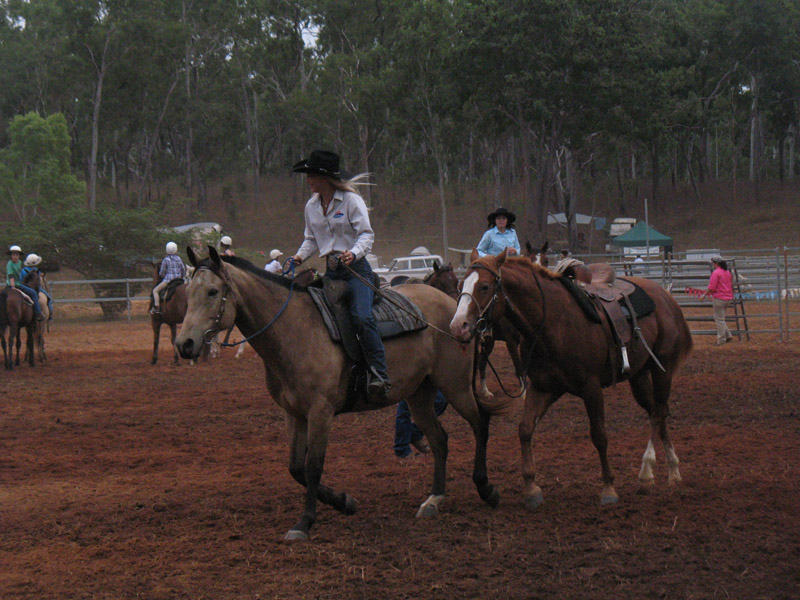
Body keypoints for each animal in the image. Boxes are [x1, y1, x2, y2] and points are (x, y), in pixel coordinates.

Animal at [176, 247, 512, 540]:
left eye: (212, 292)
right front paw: (344, 502)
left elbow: (313, 467)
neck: (294, 329)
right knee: (440, 439)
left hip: (455, 385)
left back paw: (487, 489)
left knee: (480, 424)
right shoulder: (293, 413)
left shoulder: (320, 412)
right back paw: (434, 500)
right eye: (188, 293)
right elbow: (296, 468)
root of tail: (456, 313)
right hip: (419, 393)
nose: (185, 344)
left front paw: (305, 522)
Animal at [450, 250, 692, 510]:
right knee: (657, 410)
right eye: (460, 285)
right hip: (638, 376)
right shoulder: (543, 387)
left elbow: (599, 435)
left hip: (662, 368)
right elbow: (525, 429)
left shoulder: (591, 387)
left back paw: (647, 469)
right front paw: (531, 488)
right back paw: (673, 470)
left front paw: (608, 488)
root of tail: (667, 298)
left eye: (484, 286)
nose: (457, 326)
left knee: (658, 412)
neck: (551, 323)